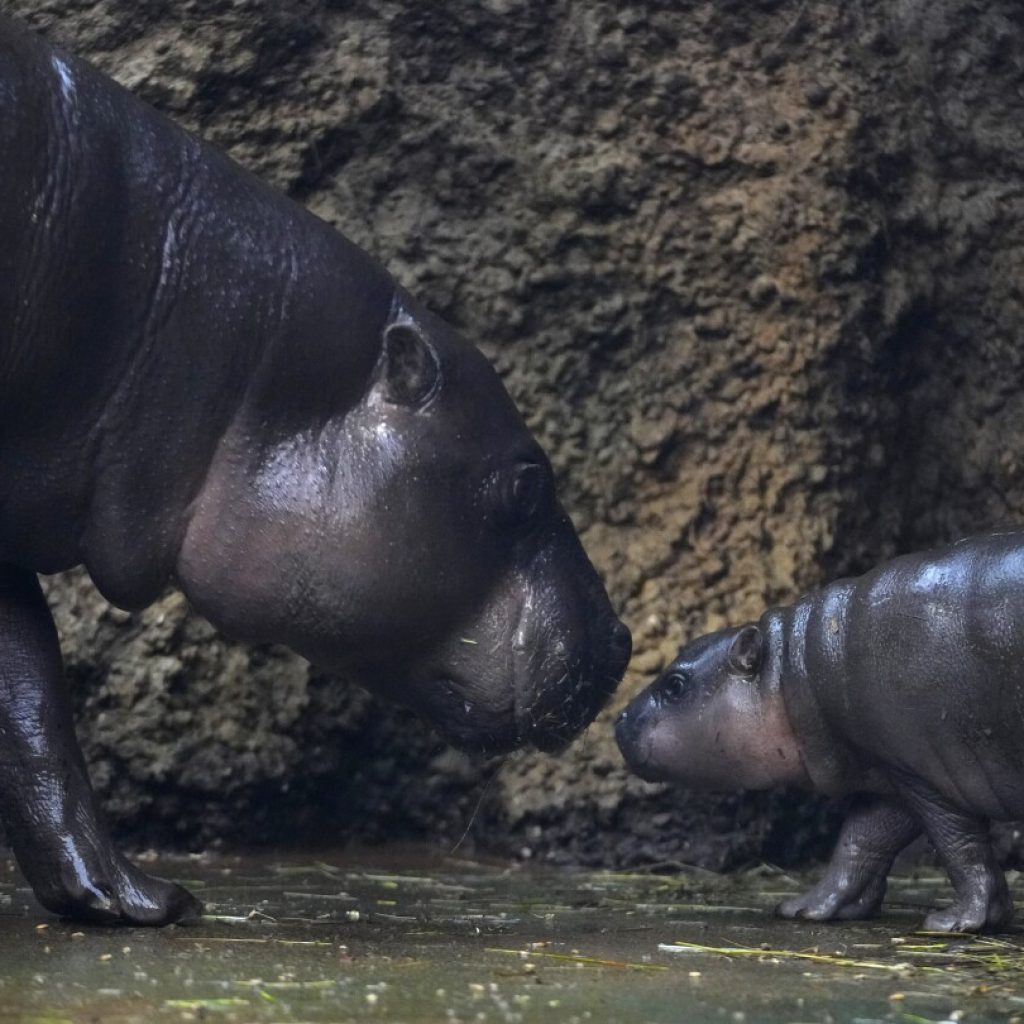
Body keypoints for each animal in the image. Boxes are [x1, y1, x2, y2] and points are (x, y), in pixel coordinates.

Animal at [614, 532, 1024, 933]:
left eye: (675, 685)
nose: (618, 719)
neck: (795, 667)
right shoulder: (893, 769)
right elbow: (861, 839)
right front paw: (805, 908)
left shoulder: (928, 769)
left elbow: (958, 842)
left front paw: (956, 922)